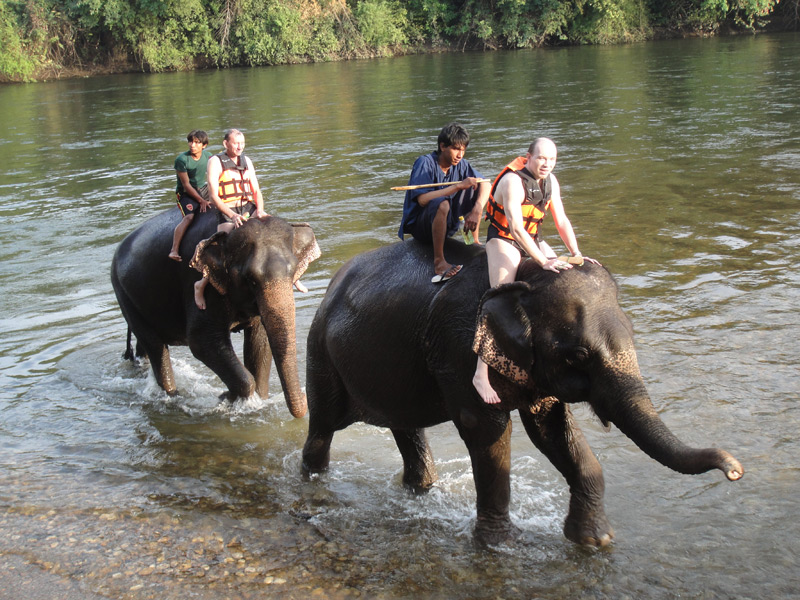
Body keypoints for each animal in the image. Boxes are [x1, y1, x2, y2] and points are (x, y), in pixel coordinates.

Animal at [112, 206, 318, 418]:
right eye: (250, 280)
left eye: (294, 272)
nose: (306, 396)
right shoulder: (201, 283)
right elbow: (201, 342)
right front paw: (227, 398)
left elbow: (259, 341)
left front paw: (257, 401)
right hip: (122, 293)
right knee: (155, 345)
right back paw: (172, 397)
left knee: (145, 346)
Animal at [302, 238, 744, 544]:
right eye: (579, 354)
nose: (735, 470)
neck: (524, 278)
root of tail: (330, 286)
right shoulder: (459, 348)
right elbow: (487, 430)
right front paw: (500, 545)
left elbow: (551, 429)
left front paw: (595, 541)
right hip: (320, 351)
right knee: (323, 426)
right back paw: (312, 480)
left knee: (405, 427)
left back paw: (420, 491)